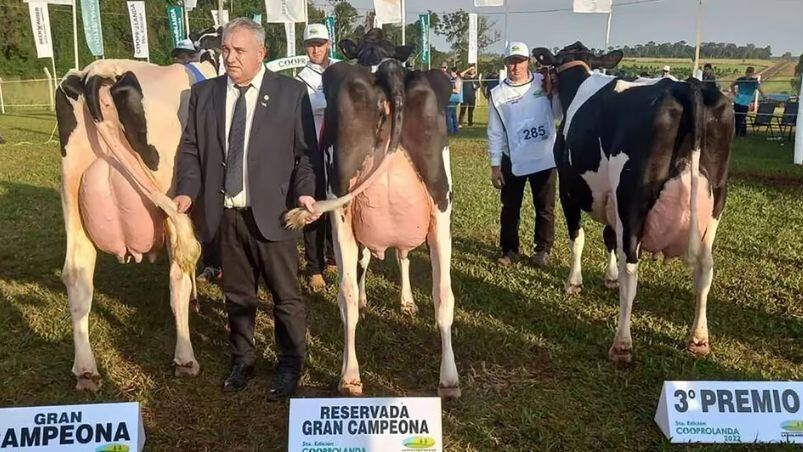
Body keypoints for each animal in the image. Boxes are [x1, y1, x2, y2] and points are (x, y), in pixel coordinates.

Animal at [56, 28, 221, 390]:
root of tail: (96, 72)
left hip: (72, 195)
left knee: (77, 275)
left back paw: (86, 370)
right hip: (171, 196)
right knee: (177, 273)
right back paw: (185, 358)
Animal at [282, 28, 462, 398]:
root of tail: (389, 69)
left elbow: (368, 262)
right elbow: (402, 256)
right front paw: (406, 301)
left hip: (341, 208)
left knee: (347, 293)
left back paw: (349, 375)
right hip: (441, 206)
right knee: (443, 294)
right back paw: (449, 379)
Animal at [532, 43, 736, 364]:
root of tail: (686, 86)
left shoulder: (568, 188)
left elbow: (579, 237)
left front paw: (574, 283)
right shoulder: (611, 201)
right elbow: (608, 237)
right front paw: (609, 277)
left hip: (632, 198)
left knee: (632, 266)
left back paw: (622, 343)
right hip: (716, 200)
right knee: (705, 268)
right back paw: (698, 338)